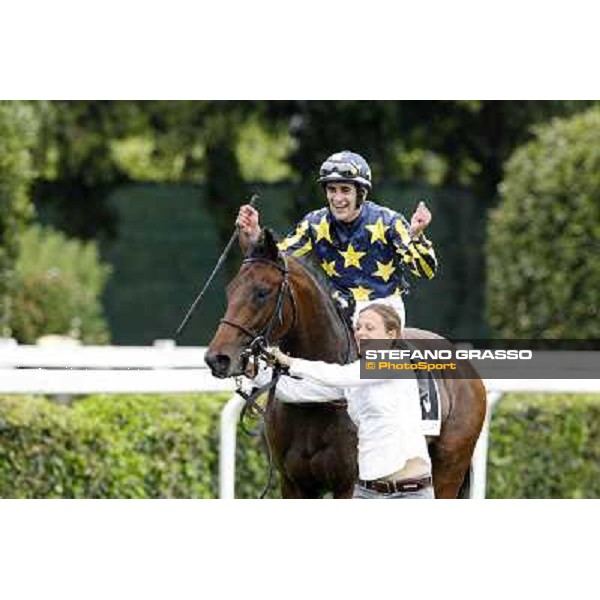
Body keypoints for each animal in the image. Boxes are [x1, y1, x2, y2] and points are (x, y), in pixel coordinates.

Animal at [206, 227, 488, 500]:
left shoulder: (350, 484)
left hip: (449, 468)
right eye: (230, 289)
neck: (314, 404)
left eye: (262, 292)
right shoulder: (294, 485)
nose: (217, 358)